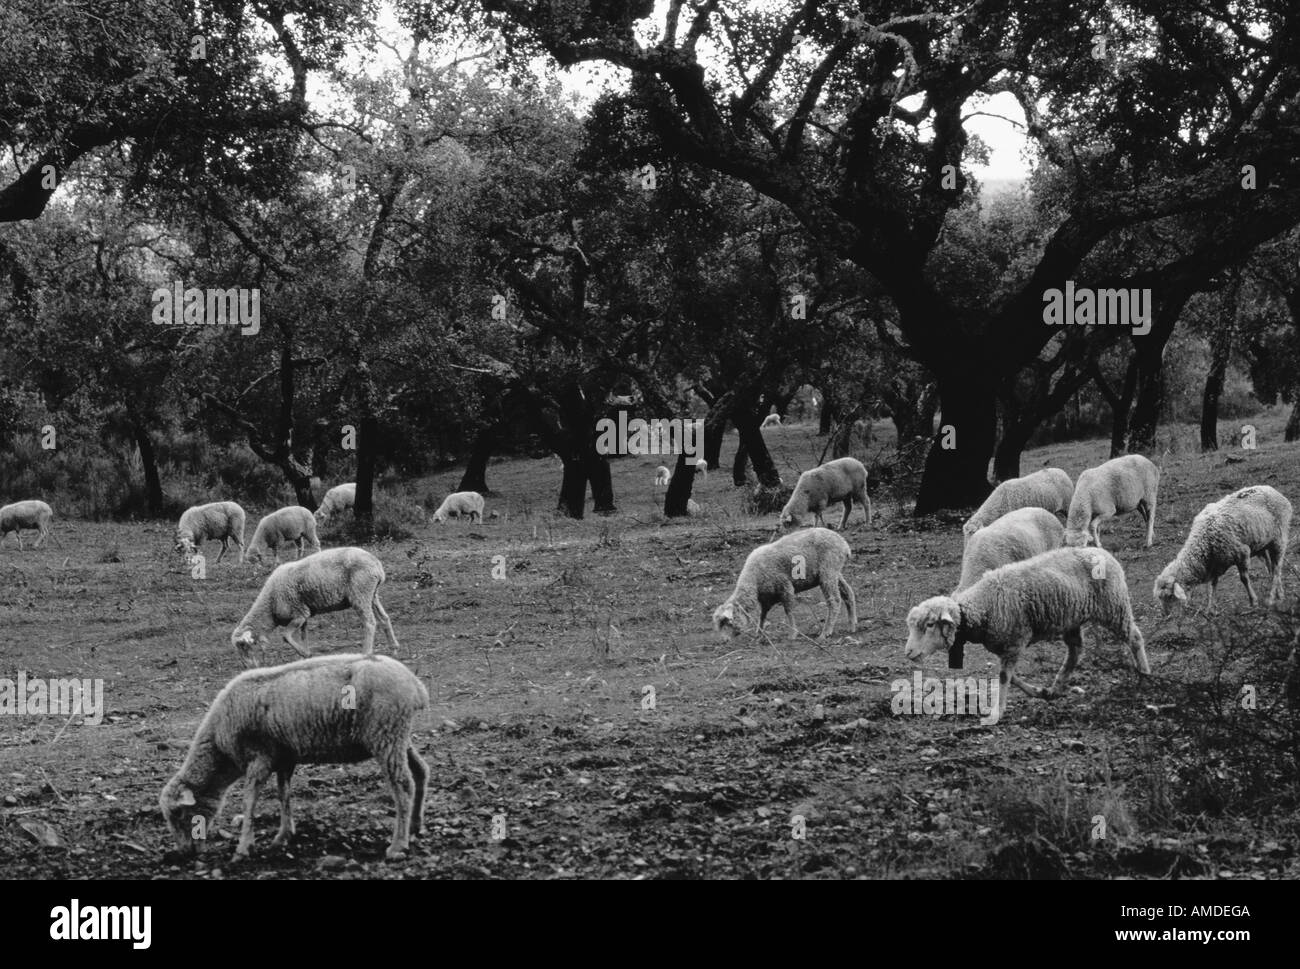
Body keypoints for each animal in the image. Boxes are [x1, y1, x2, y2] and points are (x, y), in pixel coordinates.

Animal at [158, 652, 426, 858]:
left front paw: (244, 847)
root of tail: (416, 685)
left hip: (385, 735)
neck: (220, 750)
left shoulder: (260, 757)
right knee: (421, 771)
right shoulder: (284, 757)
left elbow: (249, 799)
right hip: (398, 736)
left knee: (403, 785)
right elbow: (283, 793)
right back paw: (415, 826)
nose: (184, 853)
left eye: (178, 813)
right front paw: (283, 835)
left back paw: (398, 844)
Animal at [231, 543, 397, 665]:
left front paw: (306, 654)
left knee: (370, 623)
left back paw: (365, 654)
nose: (247, 667)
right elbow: (303, 636)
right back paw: (394, 648)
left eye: (244, 646)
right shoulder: (304, 615)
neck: (270, 605)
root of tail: (377, 565)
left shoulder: (298, 613)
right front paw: (304, 658)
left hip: (360, 593)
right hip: (371, 594)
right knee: (384, 618)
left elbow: (285, 636)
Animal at [712, 525, 852, 639]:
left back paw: (826, 632)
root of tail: (844, 543)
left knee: (834, 600)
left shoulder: (785, 587)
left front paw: (793, 634)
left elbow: (788, 611)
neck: (753, 580)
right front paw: (759, 634)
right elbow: (762, 615)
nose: (725, 640)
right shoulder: (766, 598)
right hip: (834, 572)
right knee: (848, 593)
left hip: (828, 570)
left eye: (728, 622)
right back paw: (852, 625)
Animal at [904, 543, 1149, 728]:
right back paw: (1055, 687)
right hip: (1072, 618)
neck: (982, 607)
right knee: (1075, 650)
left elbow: (1004, 678)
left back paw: (1145, 676)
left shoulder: (1014, 643)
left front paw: (996, 713)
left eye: (929, 624)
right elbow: (1011, 677)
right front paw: (1039, 692)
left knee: (1134, 637)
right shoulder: (1006, 647)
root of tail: (1102, 551)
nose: (908, 652)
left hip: (1114, 606)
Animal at [1159, 483, 1289, 611]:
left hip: (1279, 538)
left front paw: (1253, 601)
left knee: (1277, 568)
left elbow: (1244, 579)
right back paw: (1279, 594)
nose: (1166, 615)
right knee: (1271, 567)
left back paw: (1271, 598)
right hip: (1262, 544)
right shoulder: (1216, 564)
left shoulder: (1241, 553)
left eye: (1170, 596)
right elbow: (1213, 584)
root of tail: (1270, 489)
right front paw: (1210, 607)